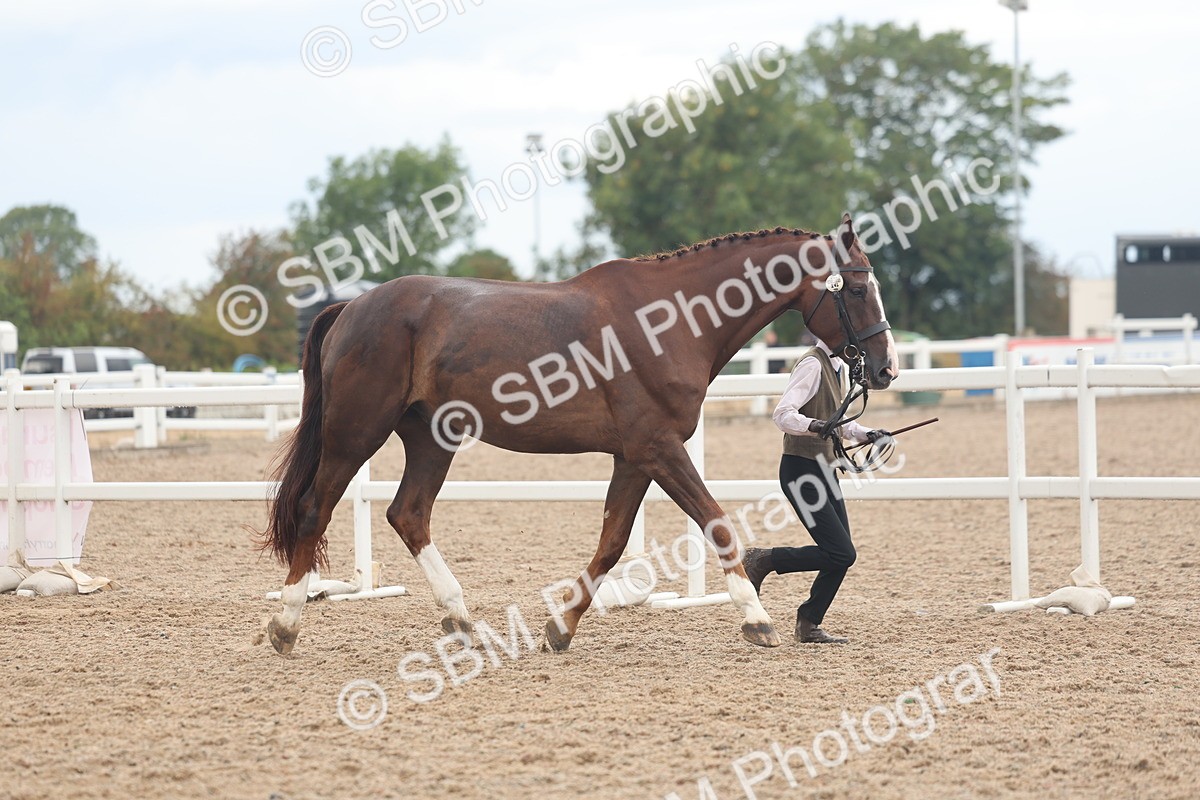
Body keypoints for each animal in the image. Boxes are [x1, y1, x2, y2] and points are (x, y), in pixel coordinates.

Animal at [261, 213, 898, 655]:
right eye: (857, 289)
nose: (886, 367)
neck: (669, 321)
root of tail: (352, 306)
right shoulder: (658, 448)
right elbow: (716, 523)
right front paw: (757, 620)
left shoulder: (635, 458)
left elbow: (612, 542)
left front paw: (560, 627)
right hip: (356, 432)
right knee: (317, 509)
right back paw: (286, 626)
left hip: (430, 438)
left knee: (408, 514)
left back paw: (462, 621)